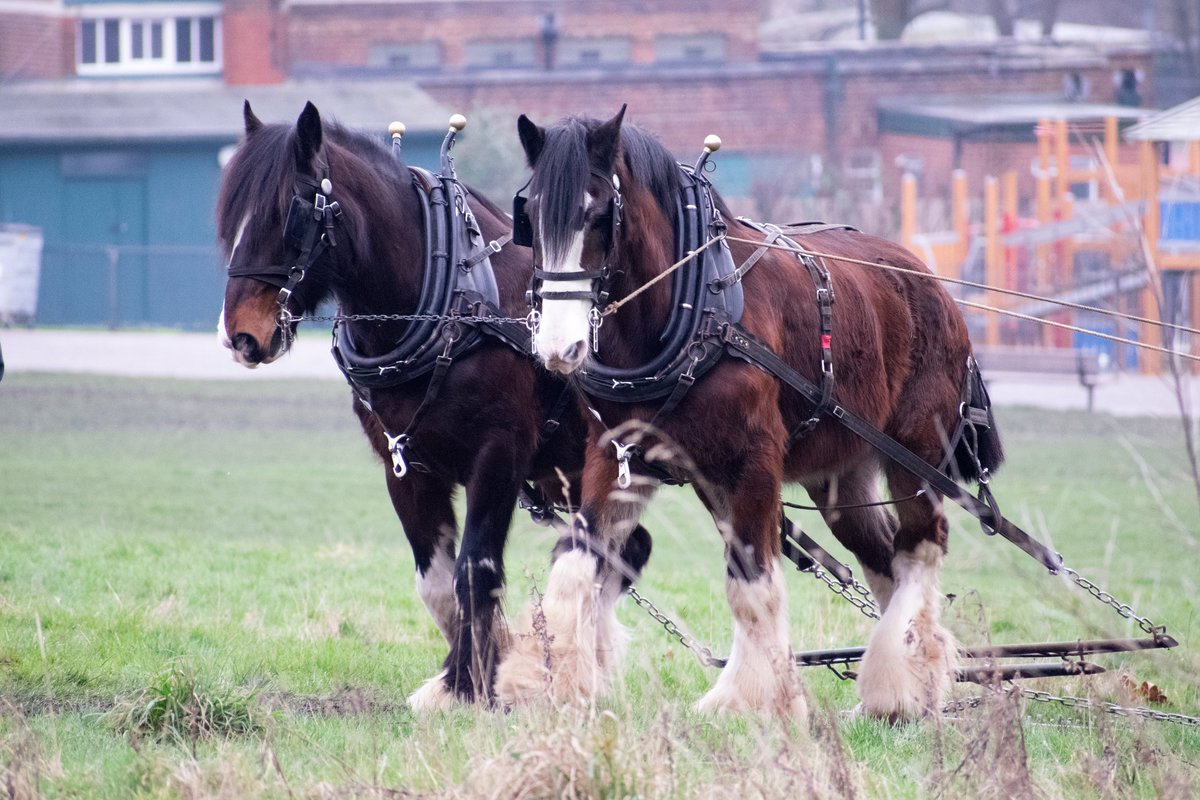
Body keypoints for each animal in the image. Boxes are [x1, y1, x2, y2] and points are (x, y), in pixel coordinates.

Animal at [216, 101, 652, 708]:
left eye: (290, 215)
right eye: (230, 214)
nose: (239, 336)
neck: (446, 299)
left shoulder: (498, 455)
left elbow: (475, 569)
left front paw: (474, 683)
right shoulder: (403, 463)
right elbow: (437, 583)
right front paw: (465, 676)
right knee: (622, 550)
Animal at [494, 107, 1003, 721]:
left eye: (597, 215)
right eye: (529, 216)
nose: (557, 348)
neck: (695, 310)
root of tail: (932, 284)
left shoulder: (754, 463)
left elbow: (751, 584)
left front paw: (747, 699)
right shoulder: (618, 458)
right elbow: (576, 560)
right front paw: (536, 683)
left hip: (915, 454)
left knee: (922, 546)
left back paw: (906, 677)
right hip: (842, 475)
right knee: (885, 556)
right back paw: (902, 686)